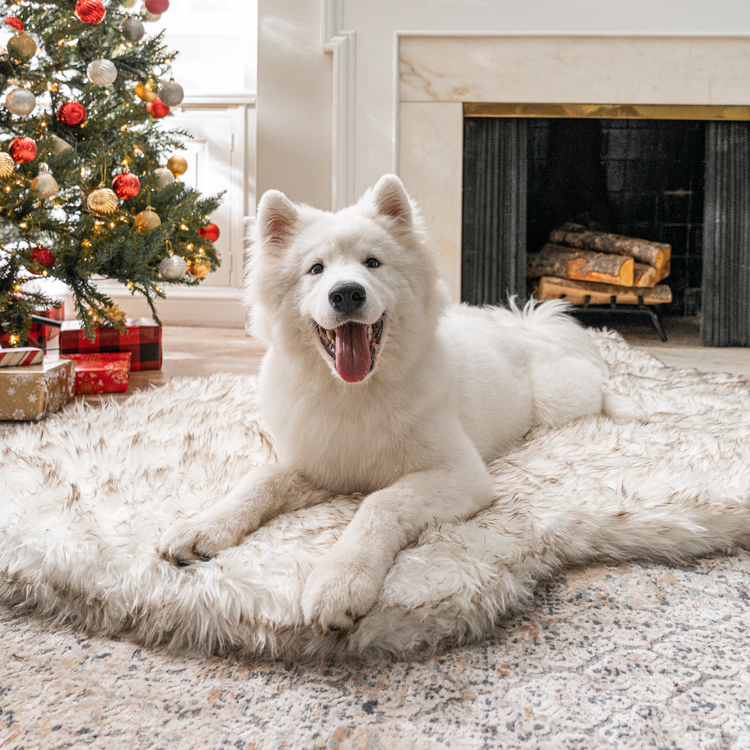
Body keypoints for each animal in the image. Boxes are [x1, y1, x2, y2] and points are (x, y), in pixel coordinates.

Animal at [159, 175, 640, 636]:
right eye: (316, 269)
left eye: (372, 263)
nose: (347, 294)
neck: (354, 395)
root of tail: (523, 326)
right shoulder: (320, 466)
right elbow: (259, 481)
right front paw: (203, 527)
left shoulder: (460, 474)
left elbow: (381, 504)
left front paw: (341, 580)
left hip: (560, 398)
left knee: (597, 383)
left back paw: (629, 407)